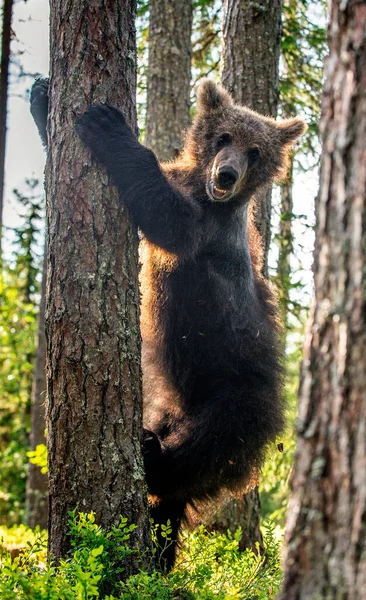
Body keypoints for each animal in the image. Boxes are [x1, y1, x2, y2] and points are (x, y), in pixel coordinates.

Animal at [30, 77, 306, 568]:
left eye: (255, 150)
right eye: (223, 137)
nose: (227, 175)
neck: (204, 191)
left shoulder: (208, 230)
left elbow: (167, 219)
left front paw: (107, 126)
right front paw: (43, 100)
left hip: (237, 404)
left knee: (198, 453)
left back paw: (152, 457)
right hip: (167, 407)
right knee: (170, 501)